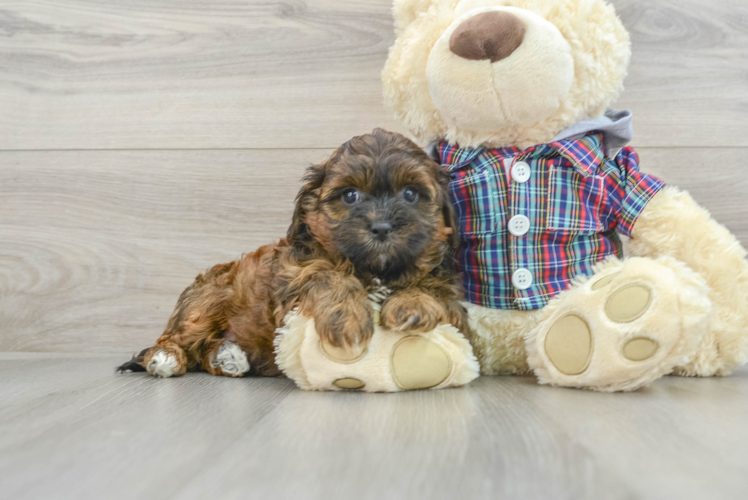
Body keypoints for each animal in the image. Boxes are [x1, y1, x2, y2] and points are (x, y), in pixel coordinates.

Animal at [117, 129, 468, 378]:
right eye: (350, 196)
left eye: (410, 194)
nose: (381, 227)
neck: (374, 270)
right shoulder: (294, 280)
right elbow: (327, 276)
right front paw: (347, 318)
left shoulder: (452, 301)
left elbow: (436, 291)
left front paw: (412, 304)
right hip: (207, 301)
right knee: (177, 338)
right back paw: (166, 359)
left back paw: (228, 357)